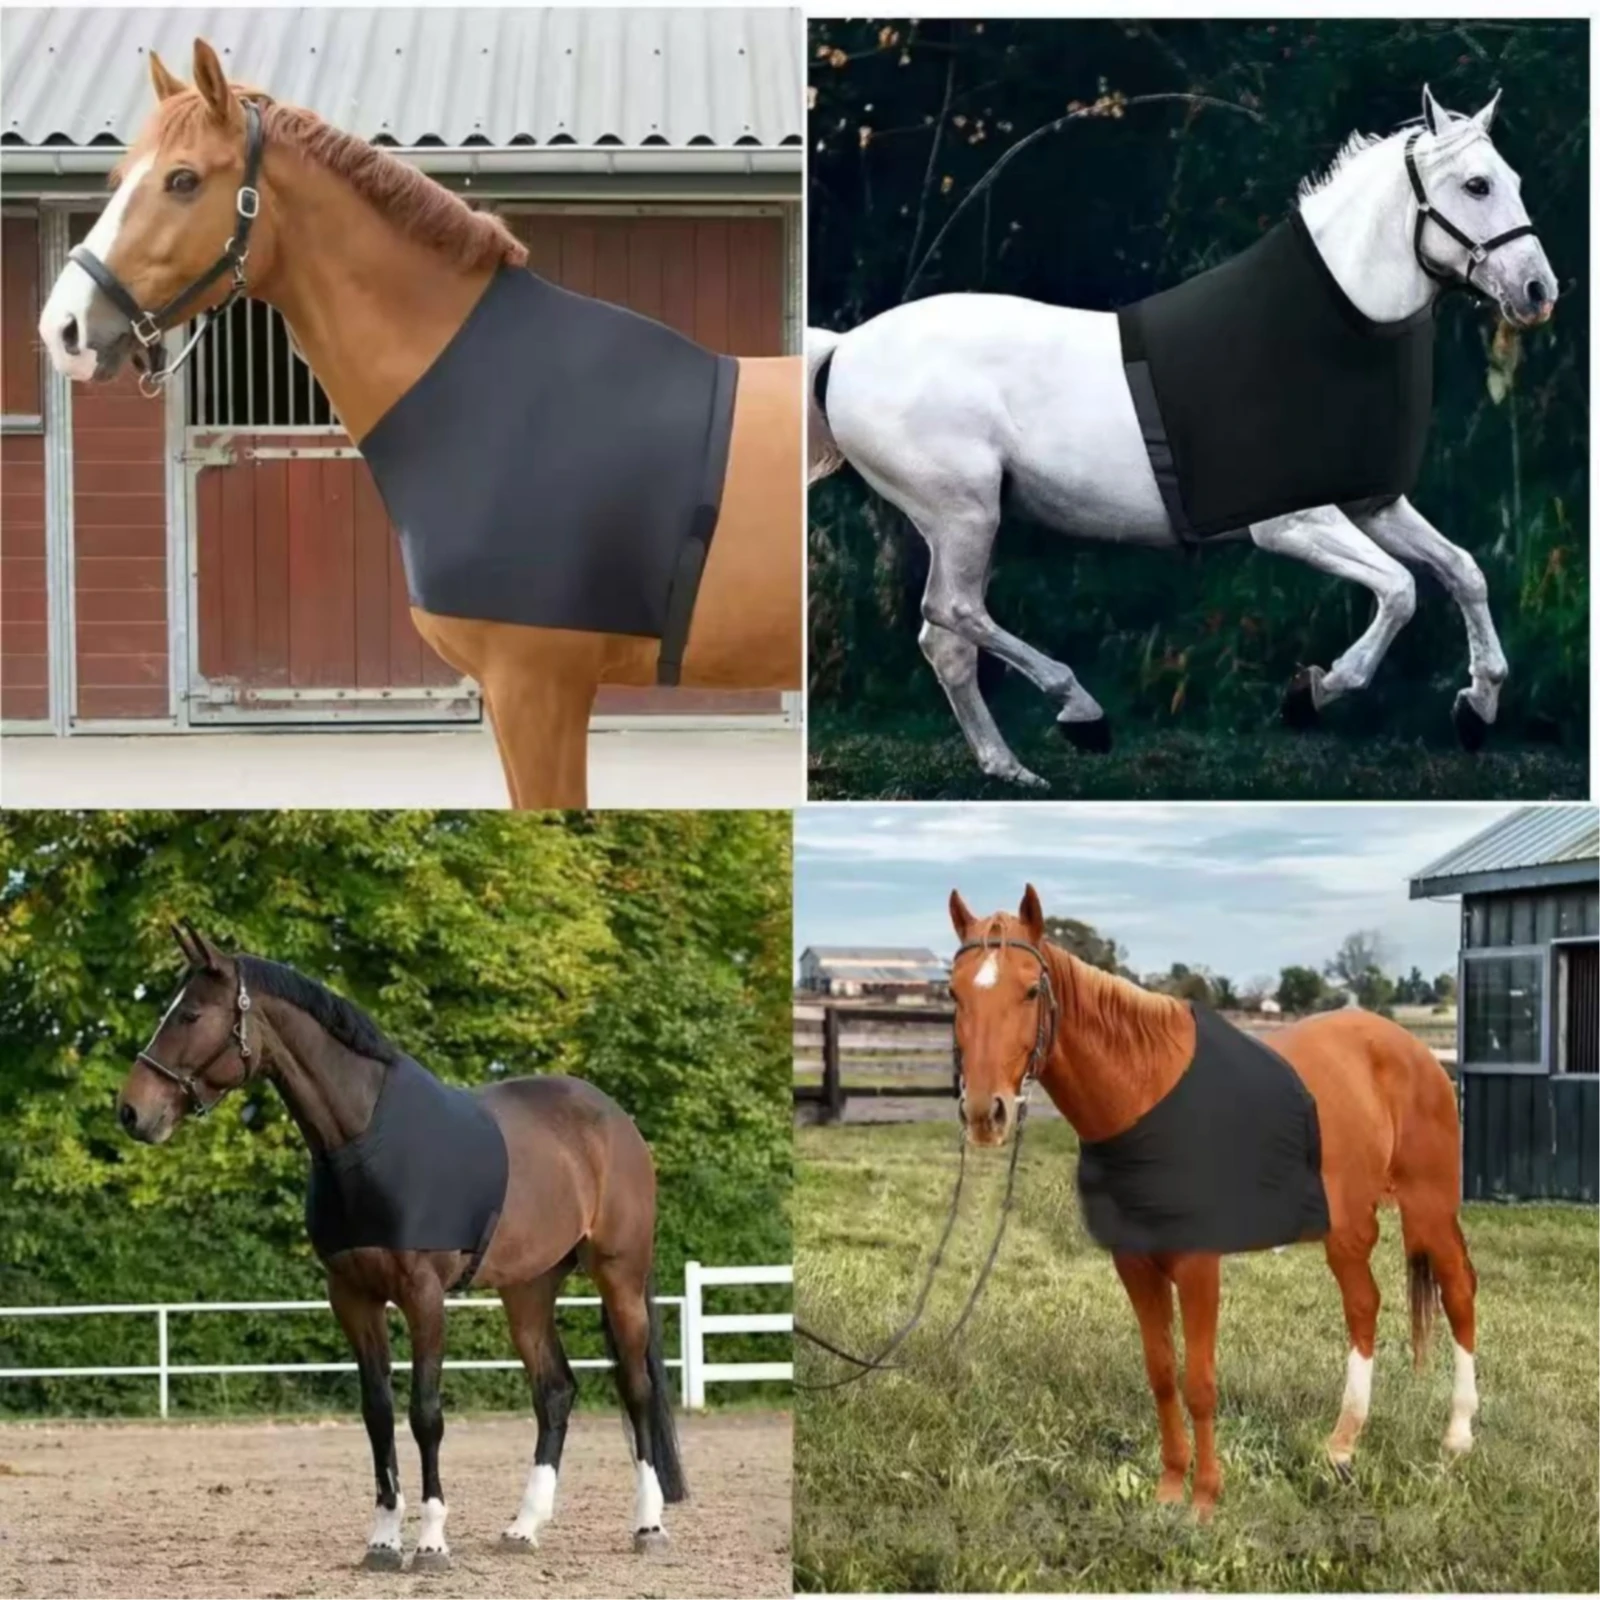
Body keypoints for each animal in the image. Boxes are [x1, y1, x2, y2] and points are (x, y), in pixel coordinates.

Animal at [116, 922, 685, 1570]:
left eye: (189, 1014)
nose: (132, 1111)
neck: (365, 1140)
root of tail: (615, 1120)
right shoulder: (352, 1297)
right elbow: (378, 1413)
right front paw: (385, 1539)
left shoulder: (423, 1297)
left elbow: (425, 1414)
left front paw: (432, 1540)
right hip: (529, 1289)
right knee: (555, 1392)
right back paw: (523, 1527)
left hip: (619, 1275)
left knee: (637, 1388)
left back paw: (648, 1526)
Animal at [808, 87, 1556, 790]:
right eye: (1477, 185)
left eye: (1514, 179)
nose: (1538, 290)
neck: (1322, 338)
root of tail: (845, 349)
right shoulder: (1293, 524)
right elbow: (1400, 590)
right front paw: (1312, 692)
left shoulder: (1373, 505)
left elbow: (1463, 571)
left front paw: (1476, 708)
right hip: (963, 514)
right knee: (954, 610)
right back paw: (1081, 712)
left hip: (961, 522)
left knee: (946, 640)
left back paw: (1010, 767)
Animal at [947, 886, 1477, 1518]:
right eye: (954, 992)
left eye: (1030, 989)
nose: (986, 1113)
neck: (1148, 1096)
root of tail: (1416, 1051)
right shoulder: (1134, 1264)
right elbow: (1161, 1374)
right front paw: (1169, 1488)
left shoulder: (1199, 1265)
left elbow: (1199, 1381)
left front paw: (1204, 1499)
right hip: (1346, 1225)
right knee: (1363, 1305)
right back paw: (1343, 1444)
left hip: (1429, 1208)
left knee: (1458, 1293)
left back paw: (1457, 1437)